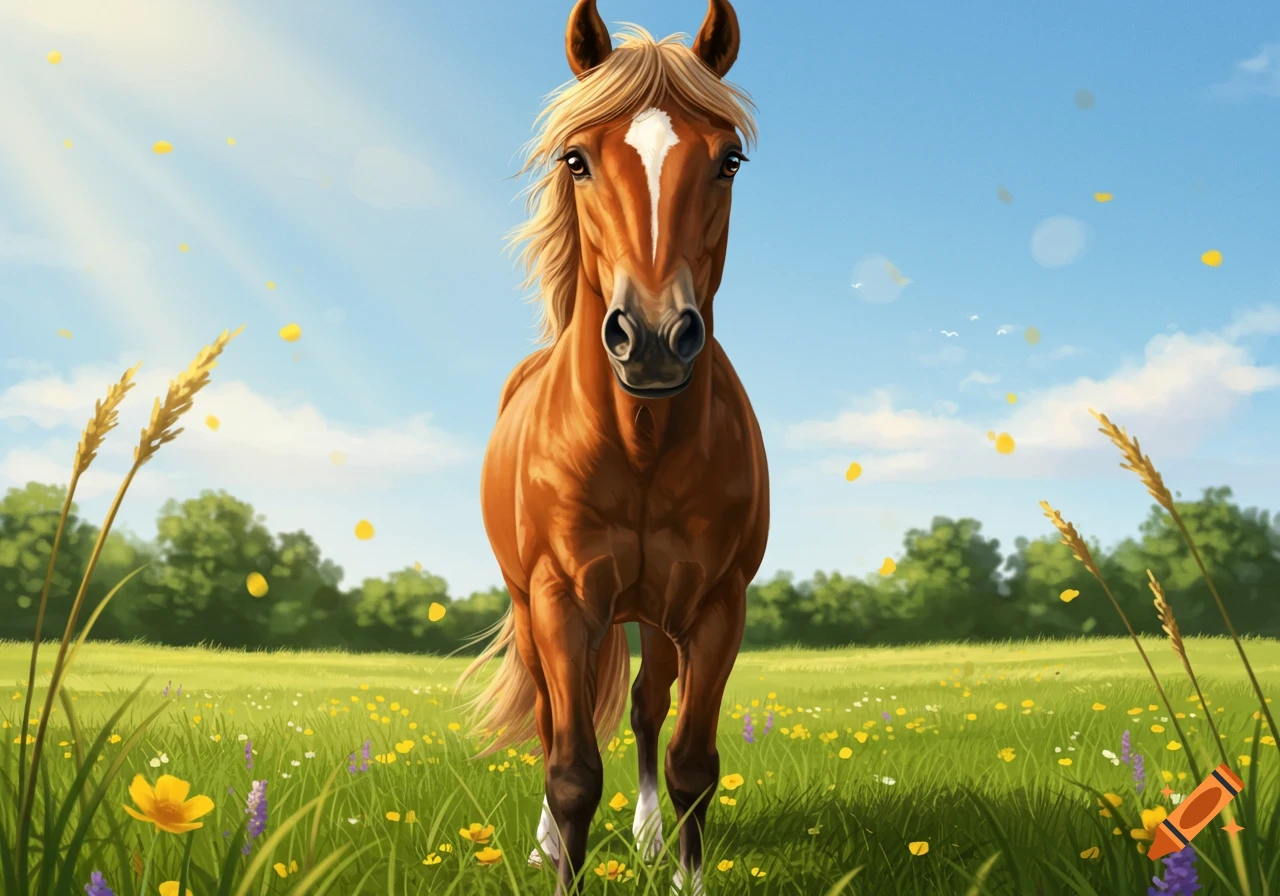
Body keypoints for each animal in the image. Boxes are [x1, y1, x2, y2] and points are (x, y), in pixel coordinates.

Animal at [456, 2, 769, 892]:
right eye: (577, 160)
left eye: (729, 160)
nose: (654, 339)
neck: (639, 446)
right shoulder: (561, 601)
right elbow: (570, 769)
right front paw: (560, 858)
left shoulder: (715, 605)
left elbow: (692, 759)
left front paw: (683, 871)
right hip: (533, 608)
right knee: (550, 718)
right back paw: (544, 842)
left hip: (656, 617)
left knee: (644, 708)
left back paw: (649, 838)